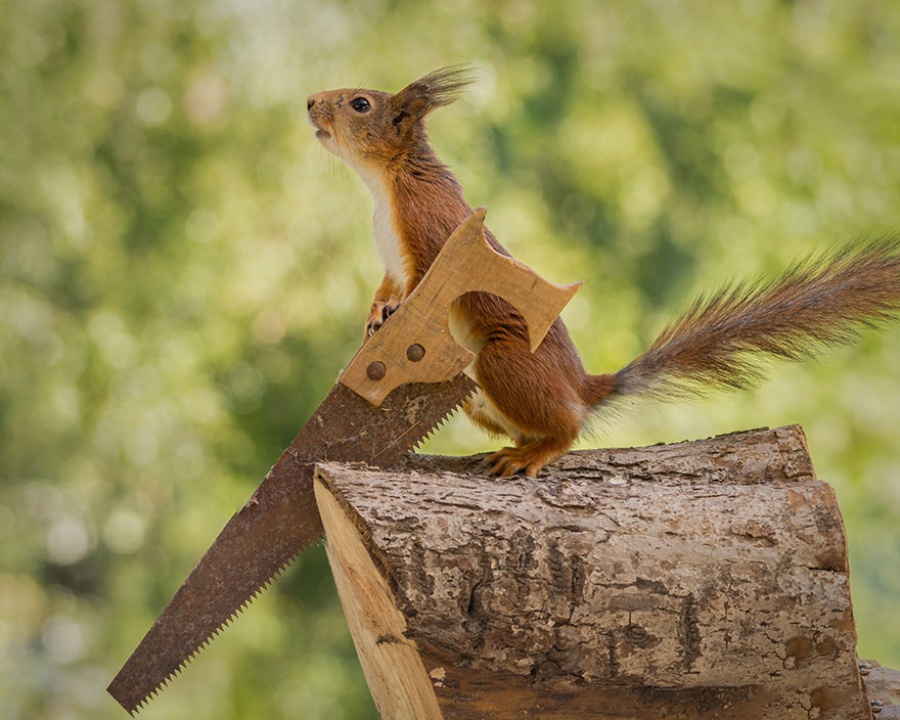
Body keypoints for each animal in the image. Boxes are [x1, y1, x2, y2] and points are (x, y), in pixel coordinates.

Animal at [306, 69, 900, 478]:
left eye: (360, 104)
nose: (310, 101)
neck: (386, 182)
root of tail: (583, 387)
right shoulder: (390, 257)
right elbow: (386, 285)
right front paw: (375, 314)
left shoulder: (432, 235)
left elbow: (423, 288)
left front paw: (394, 322)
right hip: (477, 396)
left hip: (503, 362)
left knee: (569, 426)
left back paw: (533, 455)